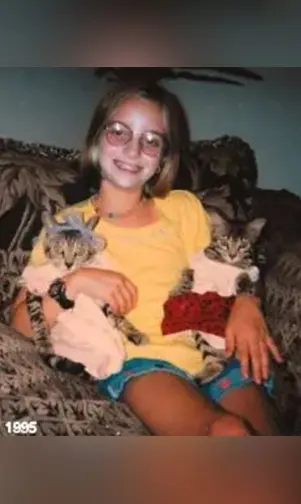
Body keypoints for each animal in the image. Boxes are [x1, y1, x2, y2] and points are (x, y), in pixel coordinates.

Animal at [25, 212, 146, 374]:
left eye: (79, 252)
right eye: (59, 250)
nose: (69, 264)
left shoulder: (101, 300)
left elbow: (117, 315)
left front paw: (134, 333)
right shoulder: (32, 293)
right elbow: (38, 320)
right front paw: (44, 344)